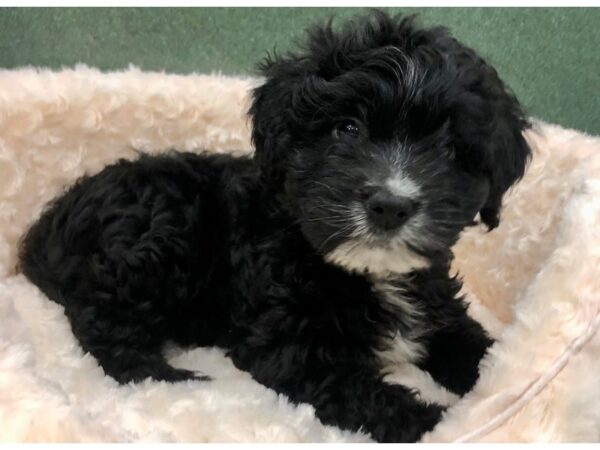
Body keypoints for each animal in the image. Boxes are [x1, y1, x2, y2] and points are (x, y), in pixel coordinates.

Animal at [19, 11, 528, 442]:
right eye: (347, 128)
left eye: (450, 150)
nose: (390, 205)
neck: (366, 271)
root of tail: (48, 226)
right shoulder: (289, 343)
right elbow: (359, 390)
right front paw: (437, 420)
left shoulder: (437, 307)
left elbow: (479, 351)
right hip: (155, 233)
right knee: (101, 322)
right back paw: (173, 378)